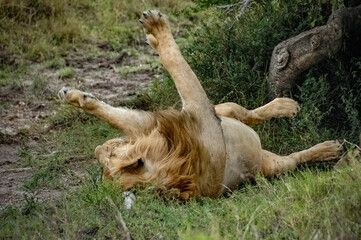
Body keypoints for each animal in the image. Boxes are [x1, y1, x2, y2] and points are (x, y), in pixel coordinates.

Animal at [57, 10, 342, 200]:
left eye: (107, 154)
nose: (98, 147)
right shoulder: (198, 110)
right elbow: (176, 63)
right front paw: (157, 29)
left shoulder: (150, 123)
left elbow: (112, 114)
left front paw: (75, 96)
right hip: (268, 161)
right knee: (289, 153)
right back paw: (327, 146)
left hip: (219, 113)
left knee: (244, 112)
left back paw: (287, 105)